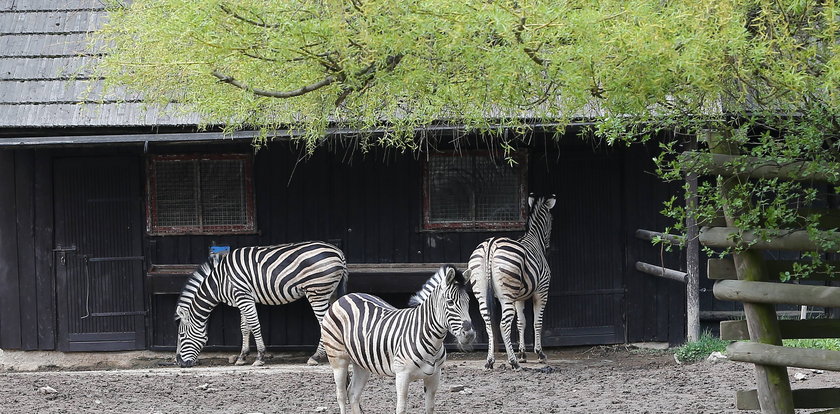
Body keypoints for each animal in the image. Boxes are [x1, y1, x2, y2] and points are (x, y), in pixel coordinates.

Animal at [174, 241, 348, 368]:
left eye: (181, 336)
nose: (180, 363)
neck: (220, 281)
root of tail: (339, 252)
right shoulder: (242, 298)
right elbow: (244, 328)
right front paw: (242, 357)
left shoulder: (243, 296)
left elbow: (255, 325)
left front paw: (260, 357)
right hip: (330, 292)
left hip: (317, 291)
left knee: (325, 322)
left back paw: (315, 357)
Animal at [324, 266, 480, 414]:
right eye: (450, 302)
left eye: (468, 301)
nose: (470, 334)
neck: (432, 342)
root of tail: (345, 297)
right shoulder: (402, 376)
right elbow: (401, 409)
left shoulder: (434, 376)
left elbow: (430, 408)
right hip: (338, 359)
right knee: (341, 395)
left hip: (362, 363)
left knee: (353, 393)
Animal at [466, 193, 556, 368]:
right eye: (551, 220)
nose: (548, 247)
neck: (534, 239)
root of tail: (491, 244)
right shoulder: (541, 291)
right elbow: (537, 322)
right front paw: (539, 354)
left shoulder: (519, 298)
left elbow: (521, 322)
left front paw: (522, 354)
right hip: (506, 296)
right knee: (503, 324)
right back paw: (513, 361)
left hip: (481, 292)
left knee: (488, 323)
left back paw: (490, 360)